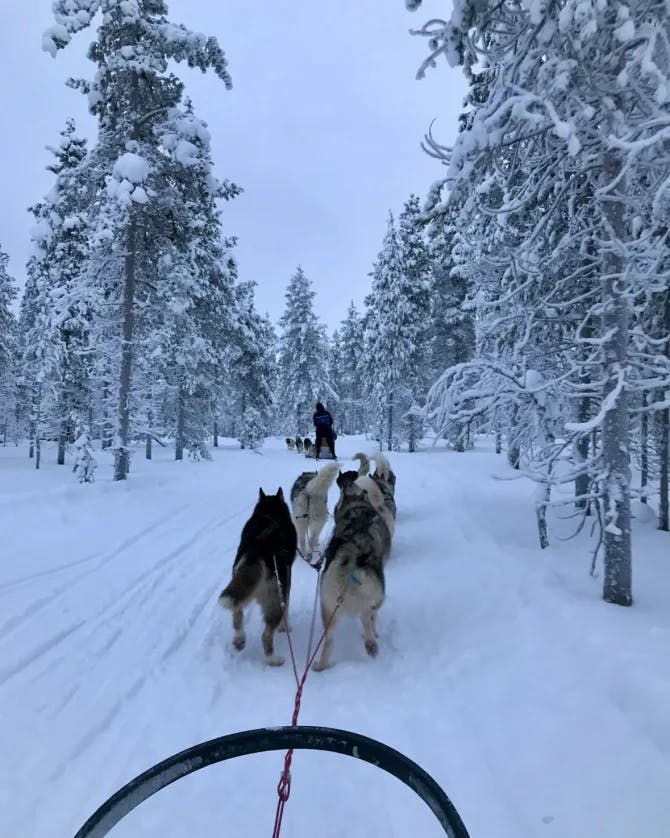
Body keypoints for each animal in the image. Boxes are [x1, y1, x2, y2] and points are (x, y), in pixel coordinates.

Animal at [219, 488, 296, 668]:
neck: (270, 514)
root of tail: (258, 551)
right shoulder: (287, 582)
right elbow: (287, 609)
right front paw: (285, 628)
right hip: (275, 598)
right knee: (266, 636)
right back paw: (273, 659)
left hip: (238, 585)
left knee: (237, 614)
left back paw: (239, 639)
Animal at [316, 476, 394, 672]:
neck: (357, 510)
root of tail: (350, 552)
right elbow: (372, 615)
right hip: (378, 592)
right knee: (367, 615)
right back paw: (371, 643)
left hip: (328, 608)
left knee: (329, 641)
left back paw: (321, 665)